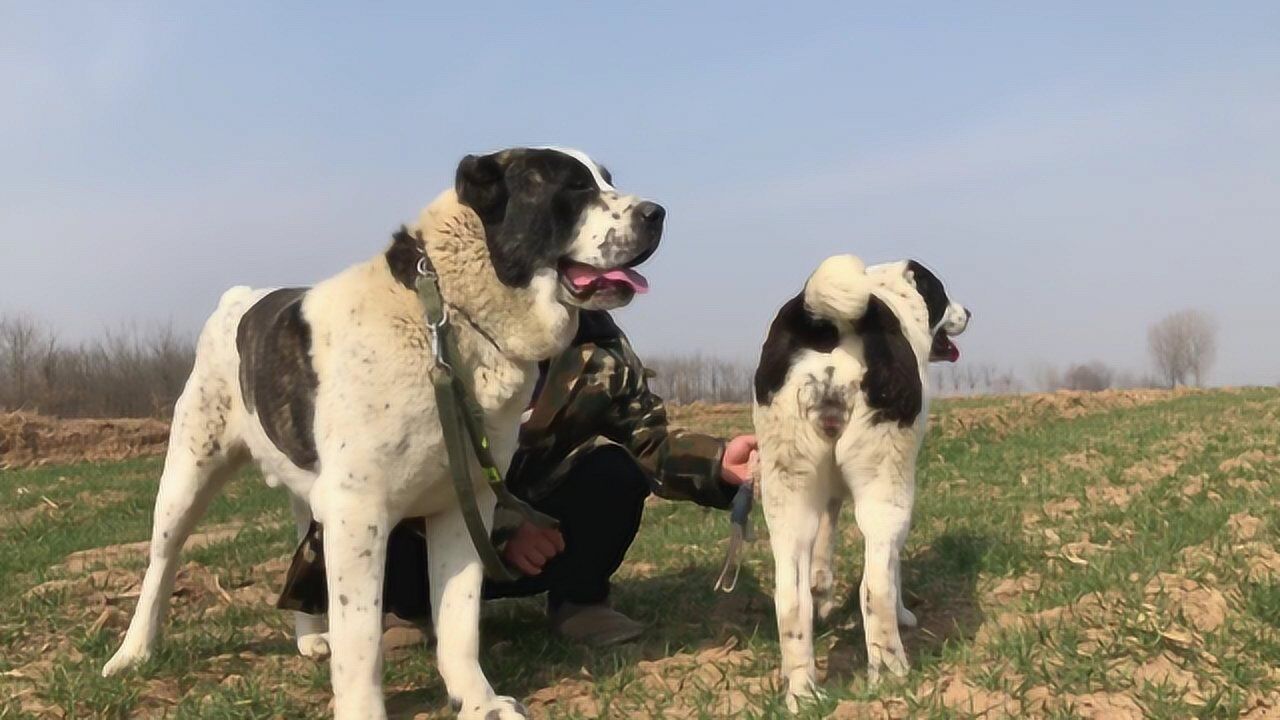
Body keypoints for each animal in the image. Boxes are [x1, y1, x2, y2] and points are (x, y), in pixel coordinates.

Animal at [103, 147, 665, 717]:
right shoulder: (358, 513)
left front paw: (479, 701)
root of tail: (238, 297)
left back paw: (309, 637)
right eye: (572, 187)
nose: (657, 213)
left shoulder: (462, 505)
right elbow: (361, 638)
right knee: (161, 564)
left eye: (606, 180)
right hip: (188, 475)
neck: (449, 317)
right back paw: (132, 654)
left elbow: (459, 622)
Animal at [747, 253, 967, 707]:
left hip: (788, 494)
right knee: (874, 587)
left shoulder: (826, 498)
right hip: (886, 489)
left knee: (790, 598)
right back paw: (892, 674)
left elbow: (821, 555)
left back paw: (803, 693)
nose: (968, 313)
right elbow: (892, 569)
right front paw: (905, 615)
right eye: (941, 293)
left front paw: (823, 595)